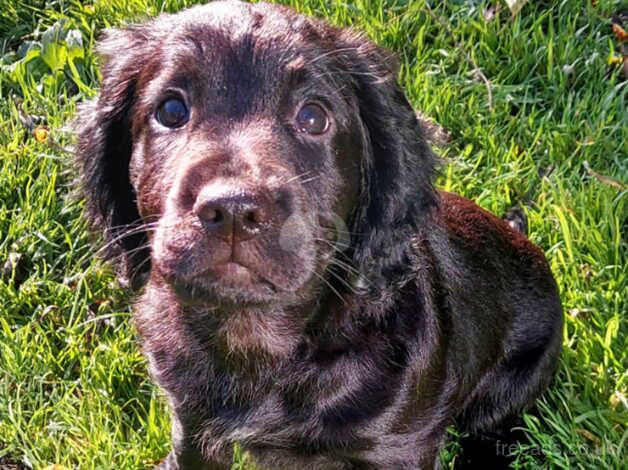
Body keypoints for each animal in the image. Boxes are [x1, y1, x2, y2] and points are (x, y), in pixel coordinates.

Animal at [76, 1, 560, 468]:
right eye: (171, 111)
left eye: (313, 117)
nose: (232, 210)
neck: (258, 344)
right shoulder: (193, 423)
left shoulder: (400, 445)